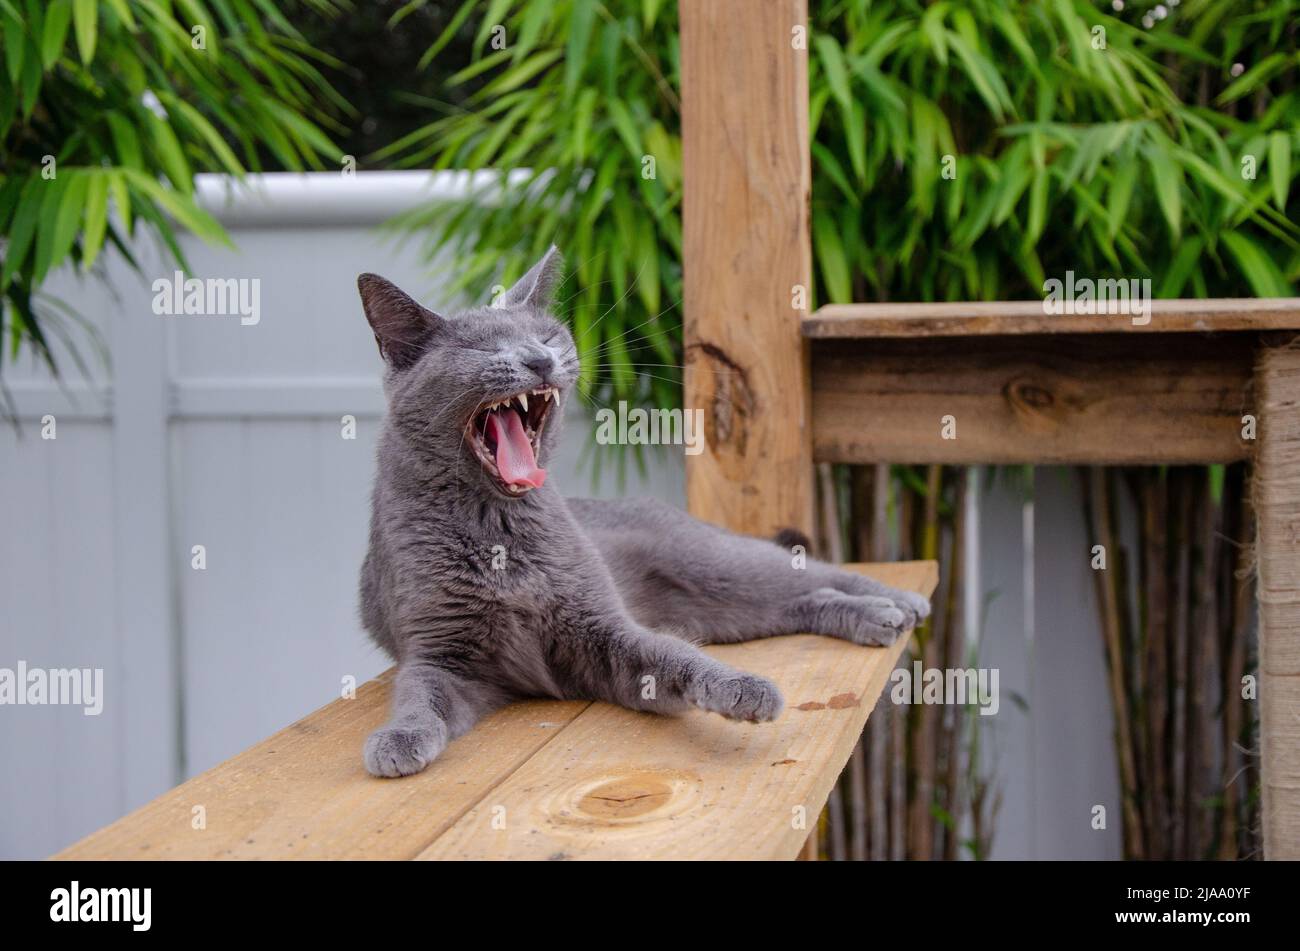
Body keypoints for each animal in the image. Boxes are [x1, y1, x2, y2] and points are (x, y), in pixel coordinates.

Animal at [356, 249, 925, 774]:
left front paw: (743, 687)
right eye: (480, 348)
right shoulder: (439, 649)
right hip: (713, 608)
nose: (539, 360)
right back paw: (875, 617)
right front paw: (399, 738)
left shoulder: (601, 627)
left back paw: (898, 602)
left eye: (549, 336)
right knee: (798, 599)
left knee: (805, 571)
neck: (498, 526)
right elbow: (420, 692)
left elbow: (674, 655)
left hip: (706, 560)